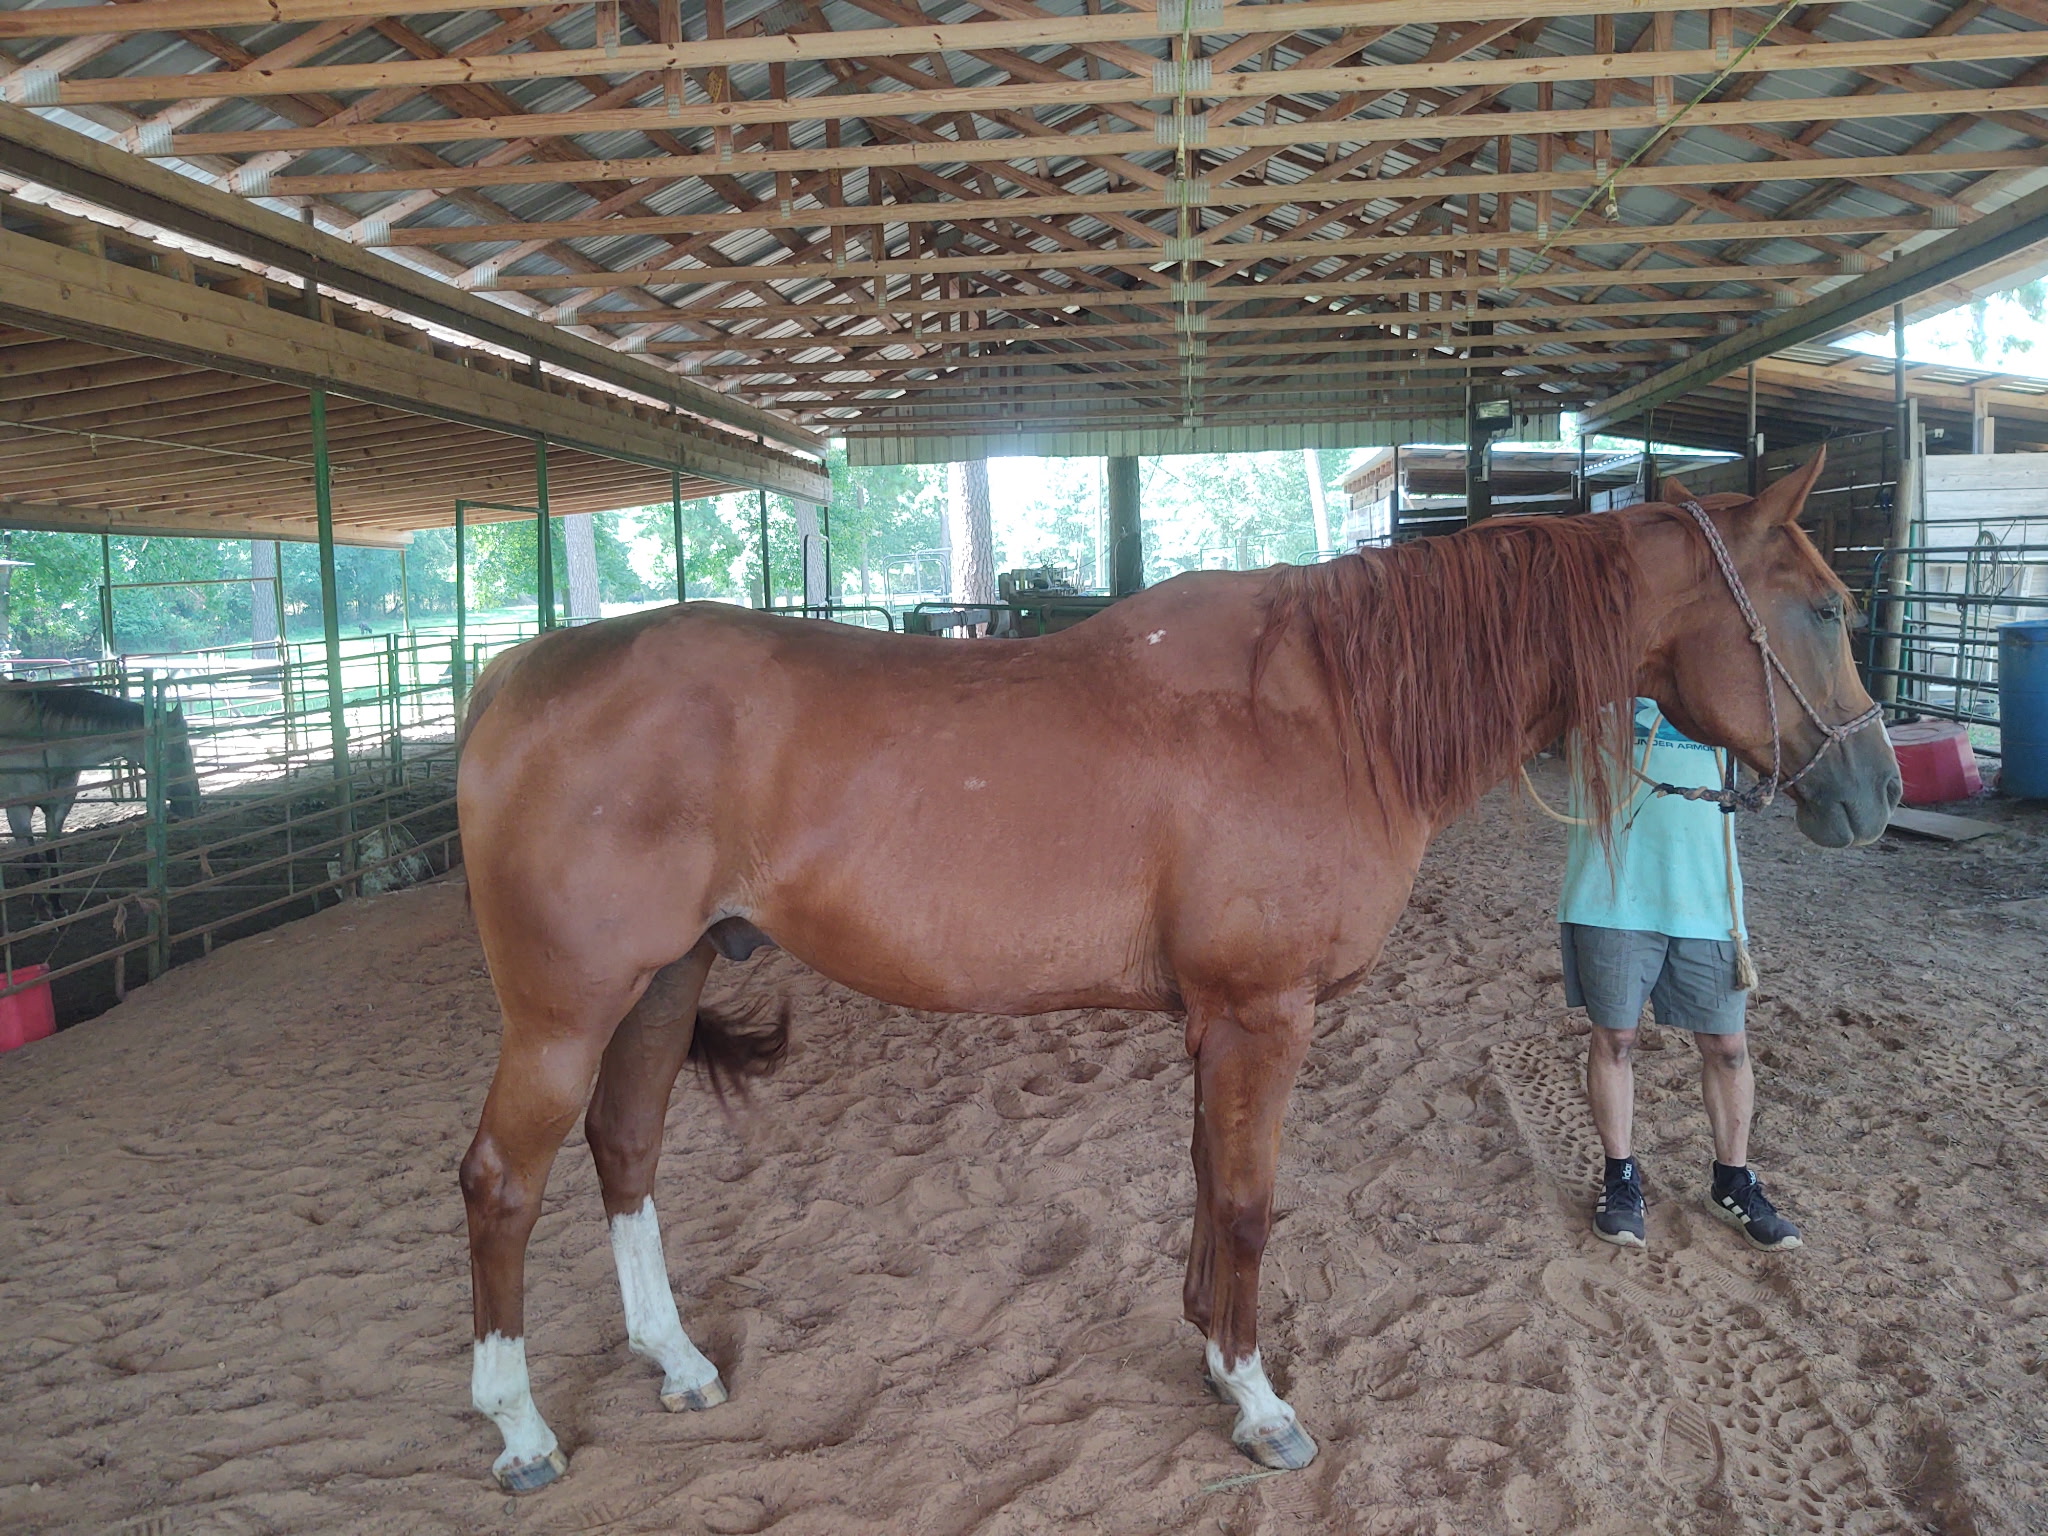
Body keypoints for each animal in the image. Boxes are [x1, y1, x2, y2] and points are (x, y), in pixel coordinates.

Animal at [0, 686, 201, 916]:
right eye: (179, 750)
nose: (194, 802)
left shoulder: (58, 807)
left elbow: (53, 853)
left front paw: (57, 906)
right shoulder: (18, 808)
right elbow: (31, 860)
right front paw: (42, 911)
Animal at [452, 451, 1900, 1492]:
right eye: (1824, 607)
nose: (1876, 792)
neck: (1328, 708)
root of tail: (519, 673)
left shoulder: (1215, 1024)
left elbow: (1208, 1184)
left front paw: (1211, 1354)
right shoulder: (1264, 1017)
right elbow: (1250, 1203)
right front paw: (1260, 1403)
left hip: (661, 985)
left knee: (626, 1148)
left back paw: (677, 1362)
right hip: (564, 1010)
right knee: (502, 1184)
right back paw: (518, 1430)